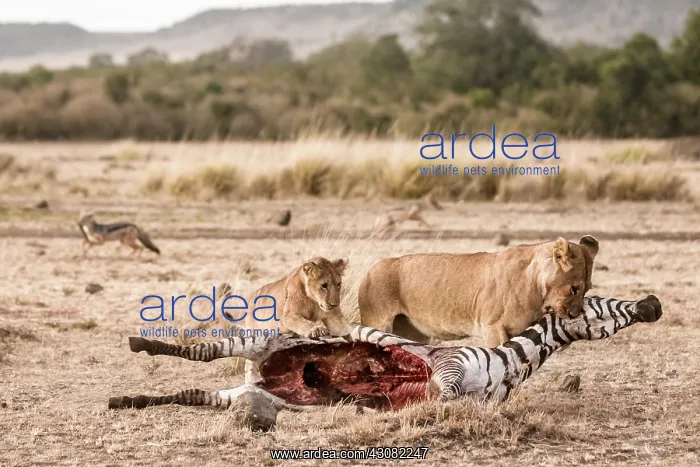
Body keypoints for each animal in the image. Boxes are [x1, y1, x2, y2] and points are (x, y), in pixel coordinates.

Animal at [358, 236, 599, 347]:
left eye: (587, 289)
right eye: (574, 289)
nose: (575, 314)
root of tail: (370, 269)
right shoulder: (491, 327)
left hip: (412, 333)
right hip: (378, 323)